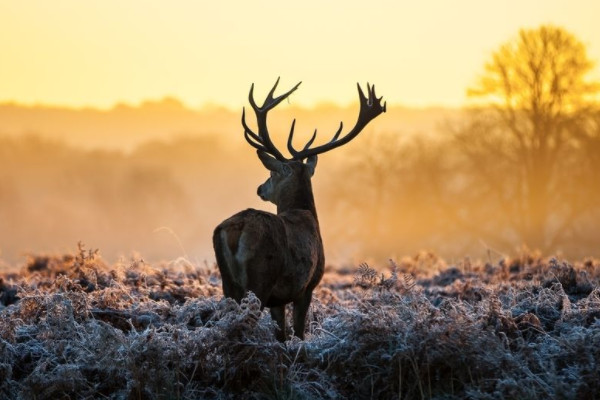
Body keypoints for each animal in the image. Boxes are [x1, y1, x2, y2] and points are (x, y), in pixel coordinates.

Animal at [213, 79, 386, 340]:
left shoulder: (279, 299)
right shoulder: (306, 286)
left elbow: (282, 336)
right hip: (260, 279)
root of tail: (236, 229)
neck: (306, 213)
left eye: (272, 173)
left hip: (229, 284)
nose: (260, 188)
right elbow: (299, 333)